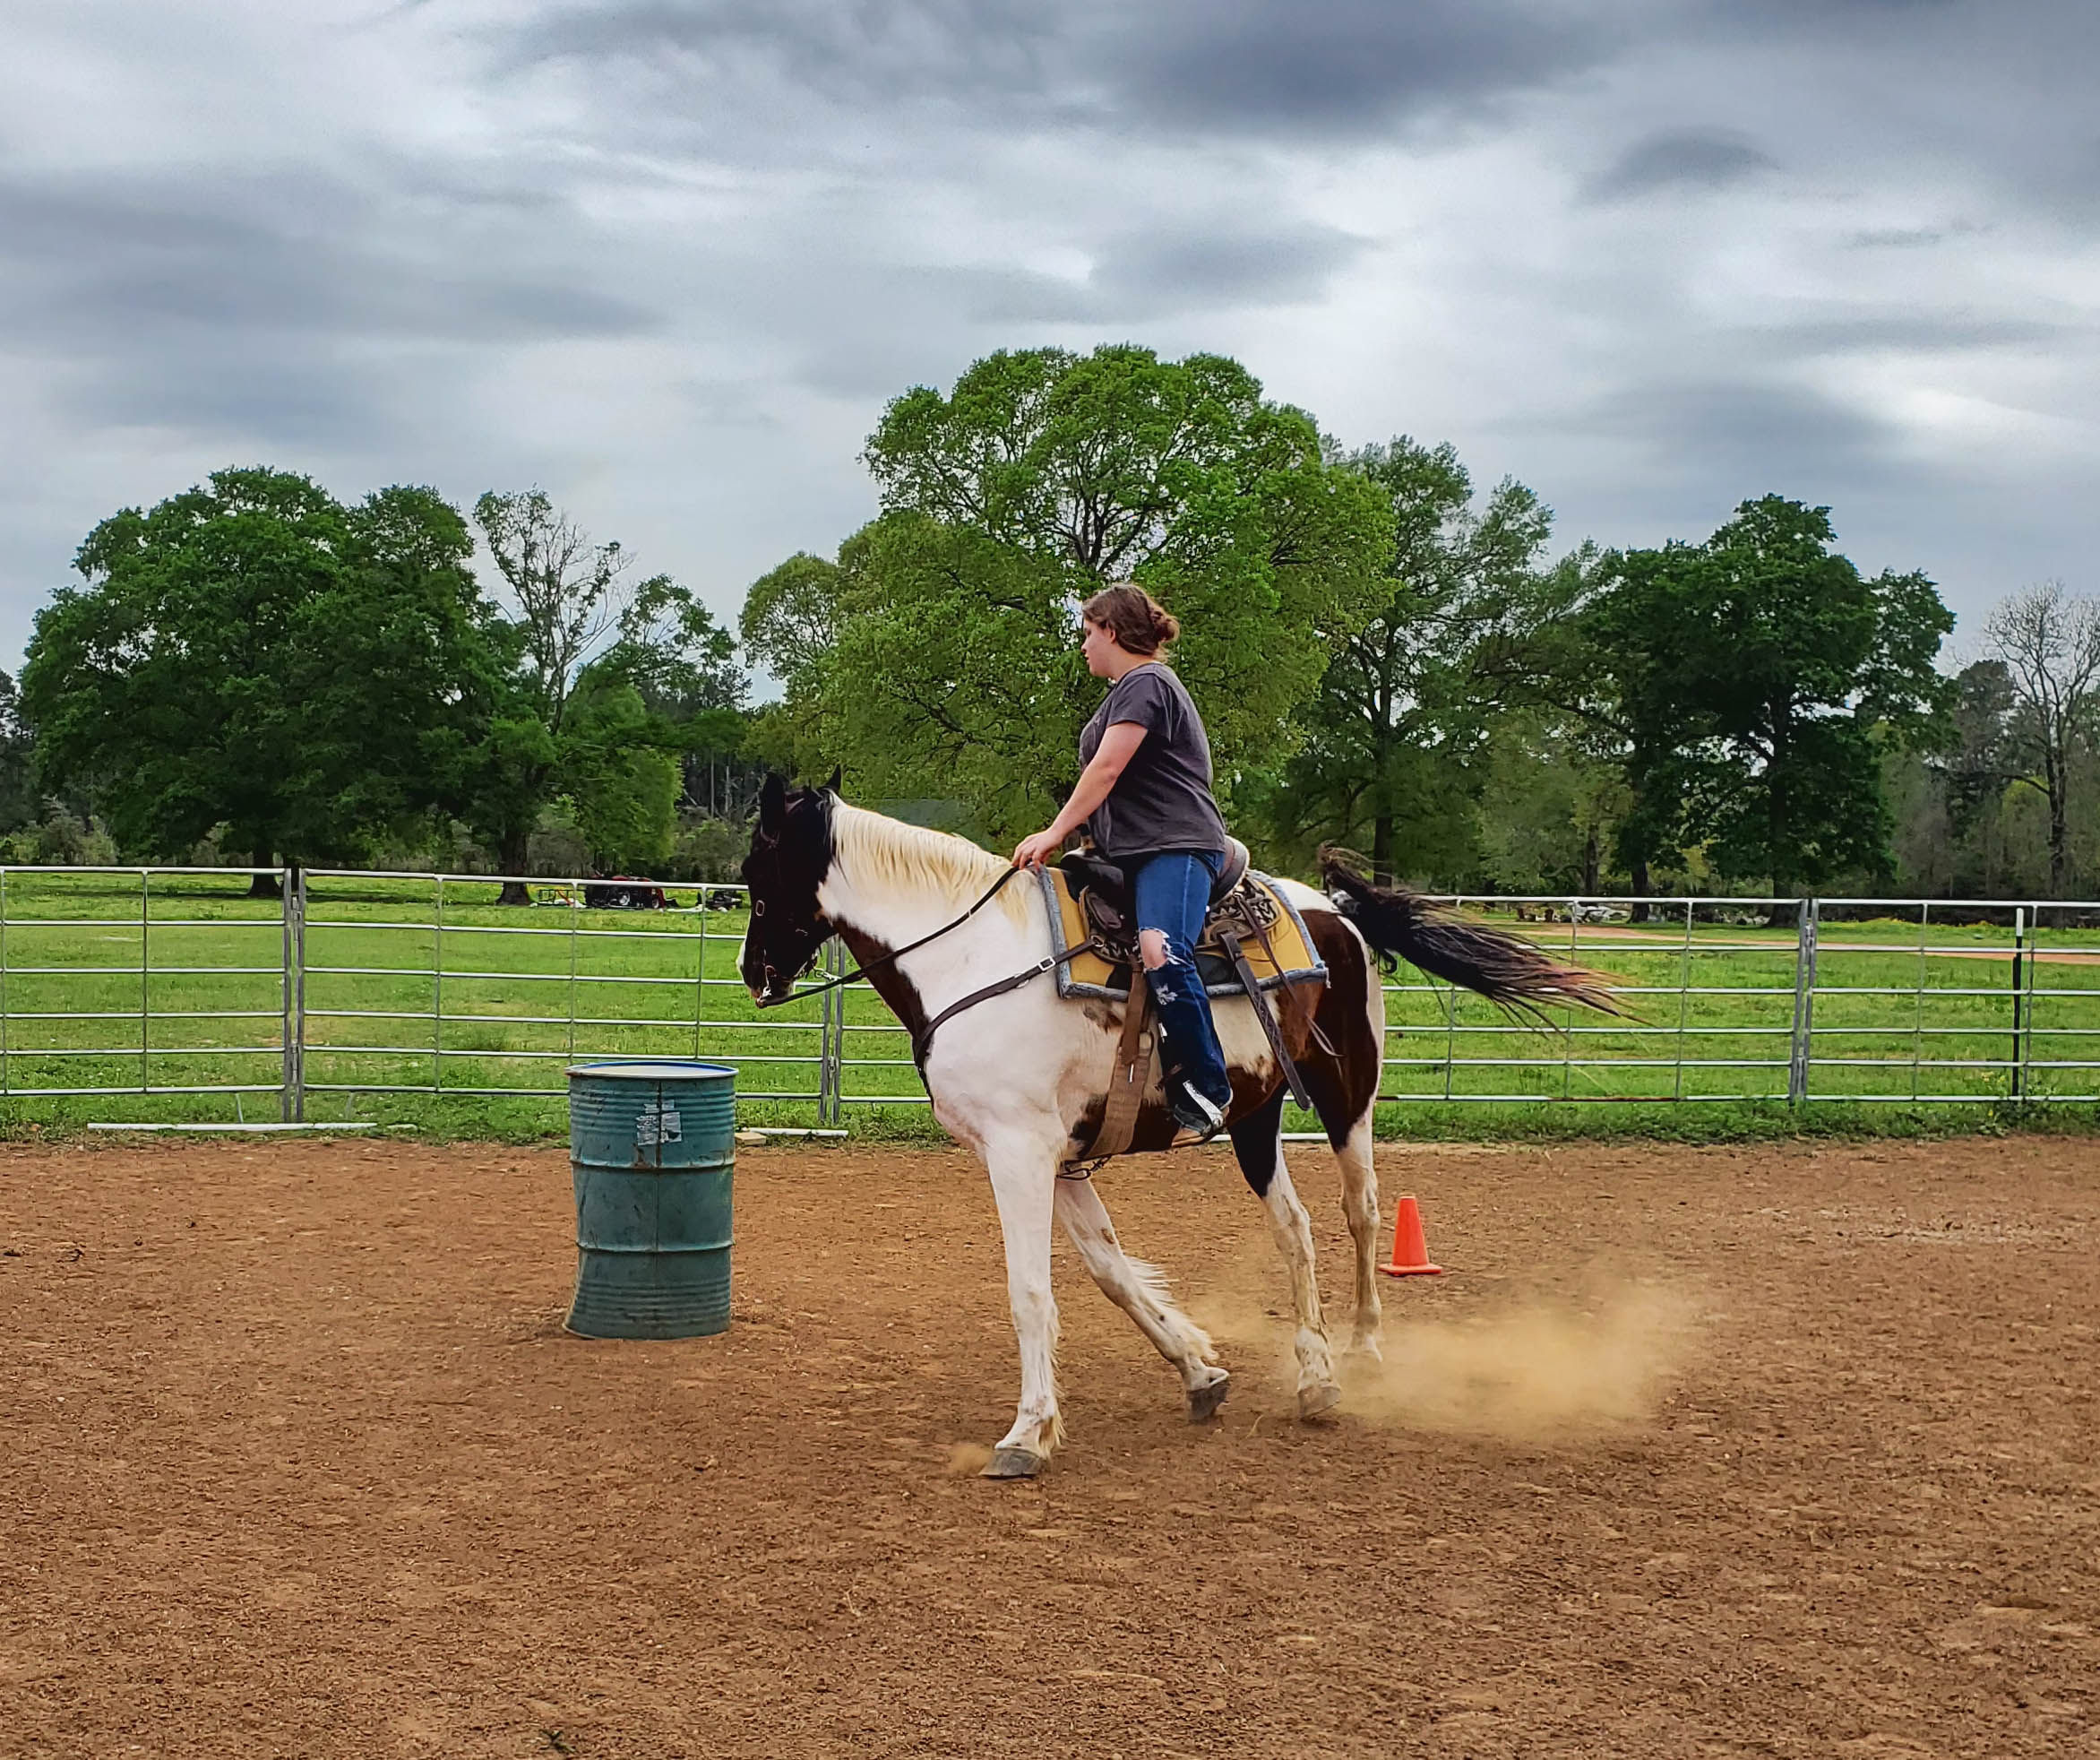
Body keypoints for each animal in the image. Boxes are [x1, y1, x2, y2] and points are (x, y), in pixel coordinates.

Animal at [739, 775, 1616, 1478]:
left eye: (755, 871)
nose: (753, 974)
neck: (971, 961)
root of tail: (1334, 911)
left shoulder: (1018, 1152)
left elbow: (1031, 1291)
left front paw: (1028, 1433)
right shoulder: (1061, 1157)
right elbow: (1111, 1273)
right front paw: (1199, 1371)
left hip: (1347, 1102)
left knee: (1360, 1212)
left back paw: (1363, 1349)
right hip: (1257, 1117)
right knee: (1295, 1229)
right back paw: (1314, 1376)